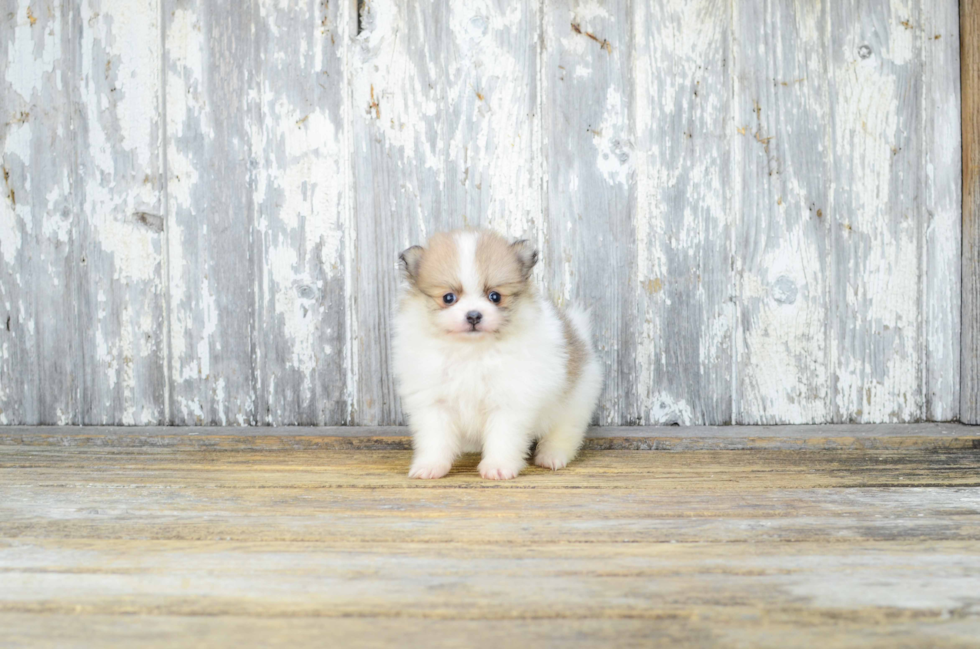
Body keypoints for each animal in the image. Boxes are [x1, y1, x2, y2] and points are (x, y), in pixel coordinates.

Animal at [394, 230, 600, 478]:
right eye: (448, 298)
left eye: (495, 296)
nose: (474, 315)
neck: (471, 351)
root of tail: (579, 333)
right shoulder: (434, 402)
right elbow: (435, 439)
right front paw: (430, 466)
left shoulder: (509, 401)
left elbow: (503, 438)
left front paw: (498, 467)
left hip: (575, 401)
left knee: (564, 432)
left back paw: (552, 456)